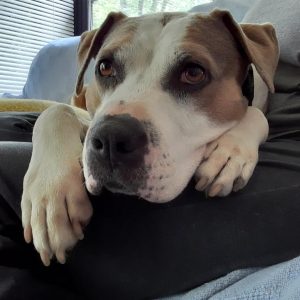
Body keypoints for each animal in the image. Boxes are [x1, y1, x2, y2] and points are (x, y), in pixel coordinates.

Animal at [20, 10, 278, 266]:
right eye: (105, 67)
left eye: (194, 73)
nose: (111, 137)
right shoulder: (88, 115)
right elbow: (54, 111)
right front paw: (50, 192)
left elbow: (256, 114)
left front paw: (228, 152)